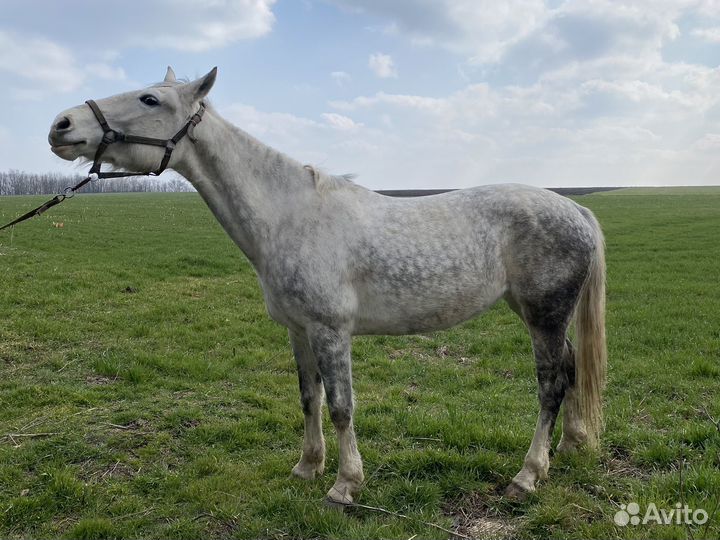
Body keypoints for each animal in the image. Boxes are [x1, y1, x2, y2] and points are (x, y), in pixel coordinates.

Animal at [48, 67, 606, 505]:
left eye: (150, 99)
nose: (61, 125)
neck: (289, 216)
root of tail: (575, 208)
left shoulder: (330, 330)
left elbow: (341, 405)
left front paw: (344, 485)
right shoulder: (298, 330)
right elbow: (309, 398)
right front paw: (307, 467)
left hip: (544, 315)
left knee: (551, 384)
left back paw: (528, 475)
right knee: (572, 368)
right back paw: (571, 446)